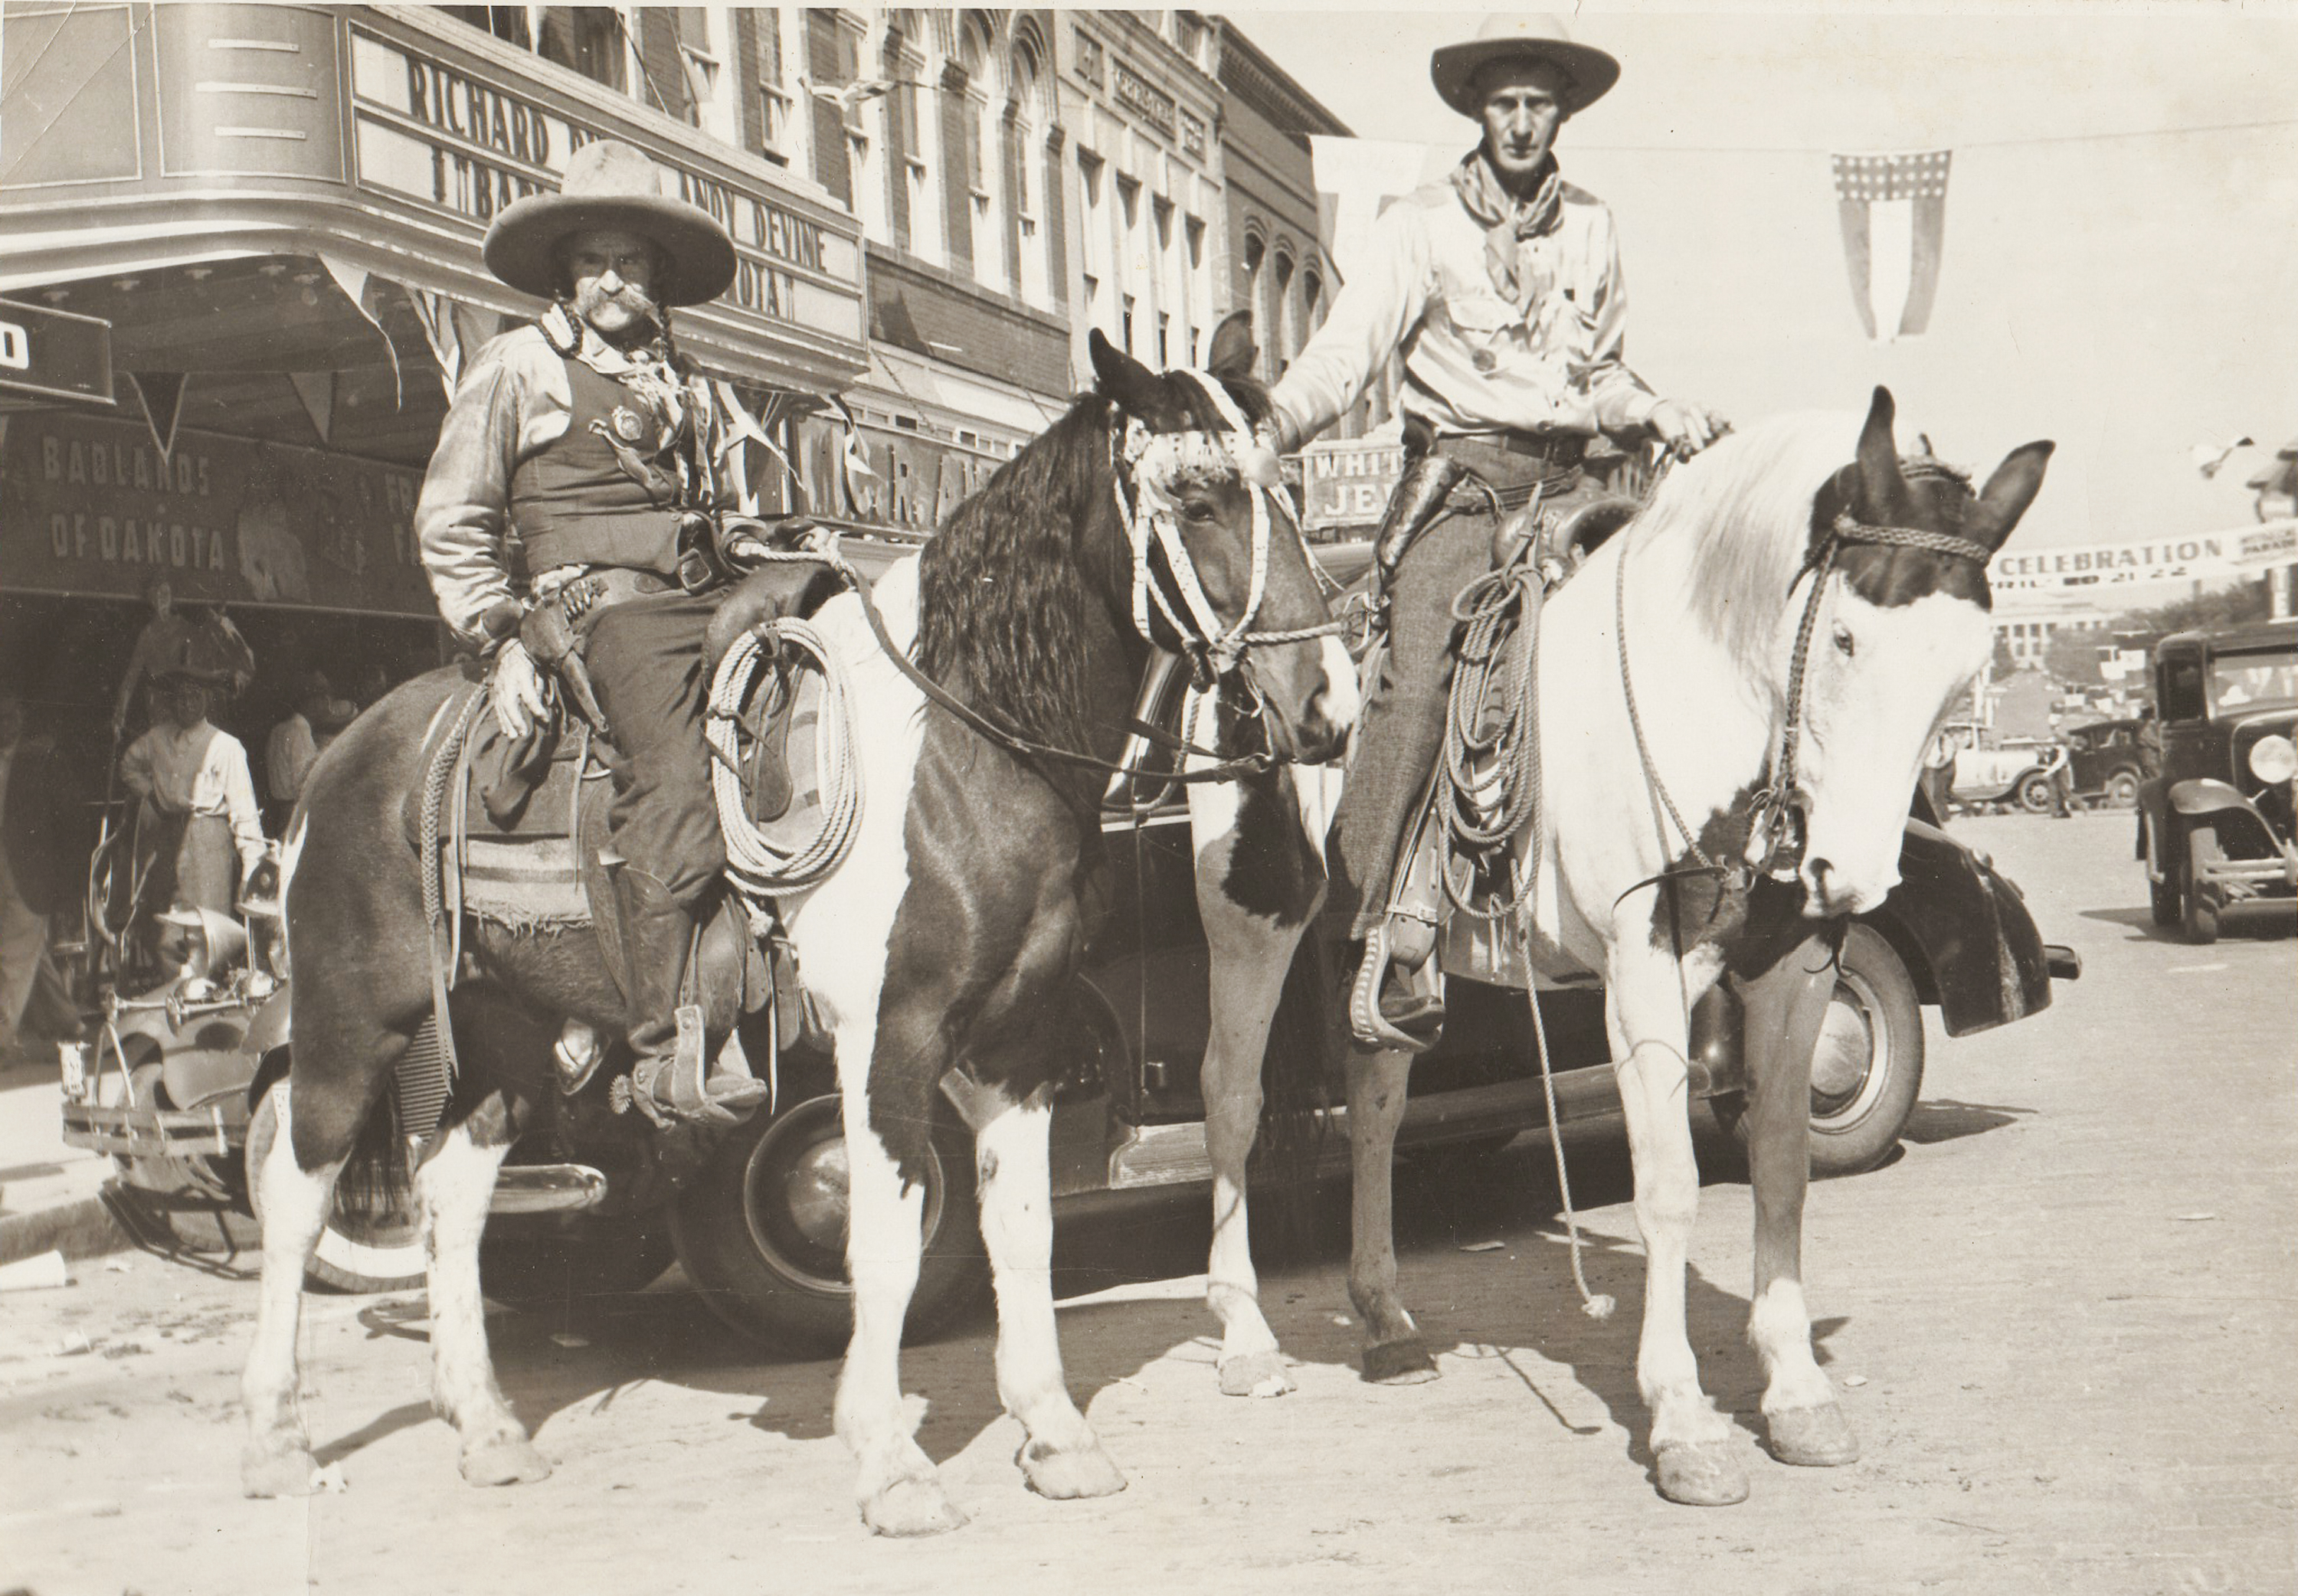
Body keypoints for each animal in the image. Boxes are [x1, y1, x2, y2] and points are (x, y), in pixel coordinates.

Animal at [235, 314, 1351, 1534]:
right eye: (1196, 497)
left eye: (1283, 485)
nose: (1328, 702)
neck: (957, 746)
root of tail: (342, 758)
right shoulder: (886, 1037)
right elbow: (880, 1234)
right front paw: (892, 1463)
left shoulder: (1022, 1038)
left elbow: (1023, 1228)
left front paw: (1056, 1436)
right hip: (351, 1021)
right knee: (295, 1192)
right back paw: (279, 1442)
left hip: (507, 1030)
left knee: (454, 1193)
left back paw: (486, 1431)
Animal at [1186, 392, 2050, 1506]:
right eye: (1847, 636)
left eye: (1965, 669)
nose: (1854, 875)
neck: (1704, 700)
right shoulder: (1643, 974)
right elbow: (1668, 1185)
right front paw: (1683, 1421)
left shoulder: (1797, 971)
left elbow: (1780, 1168)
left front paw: (1798, 1393)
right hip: (1250, 927)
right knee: (1232, 1100)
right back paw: (1245, 1334)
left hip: (1379, 960)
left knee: (1375, 1096)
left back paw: (1385, 1320)